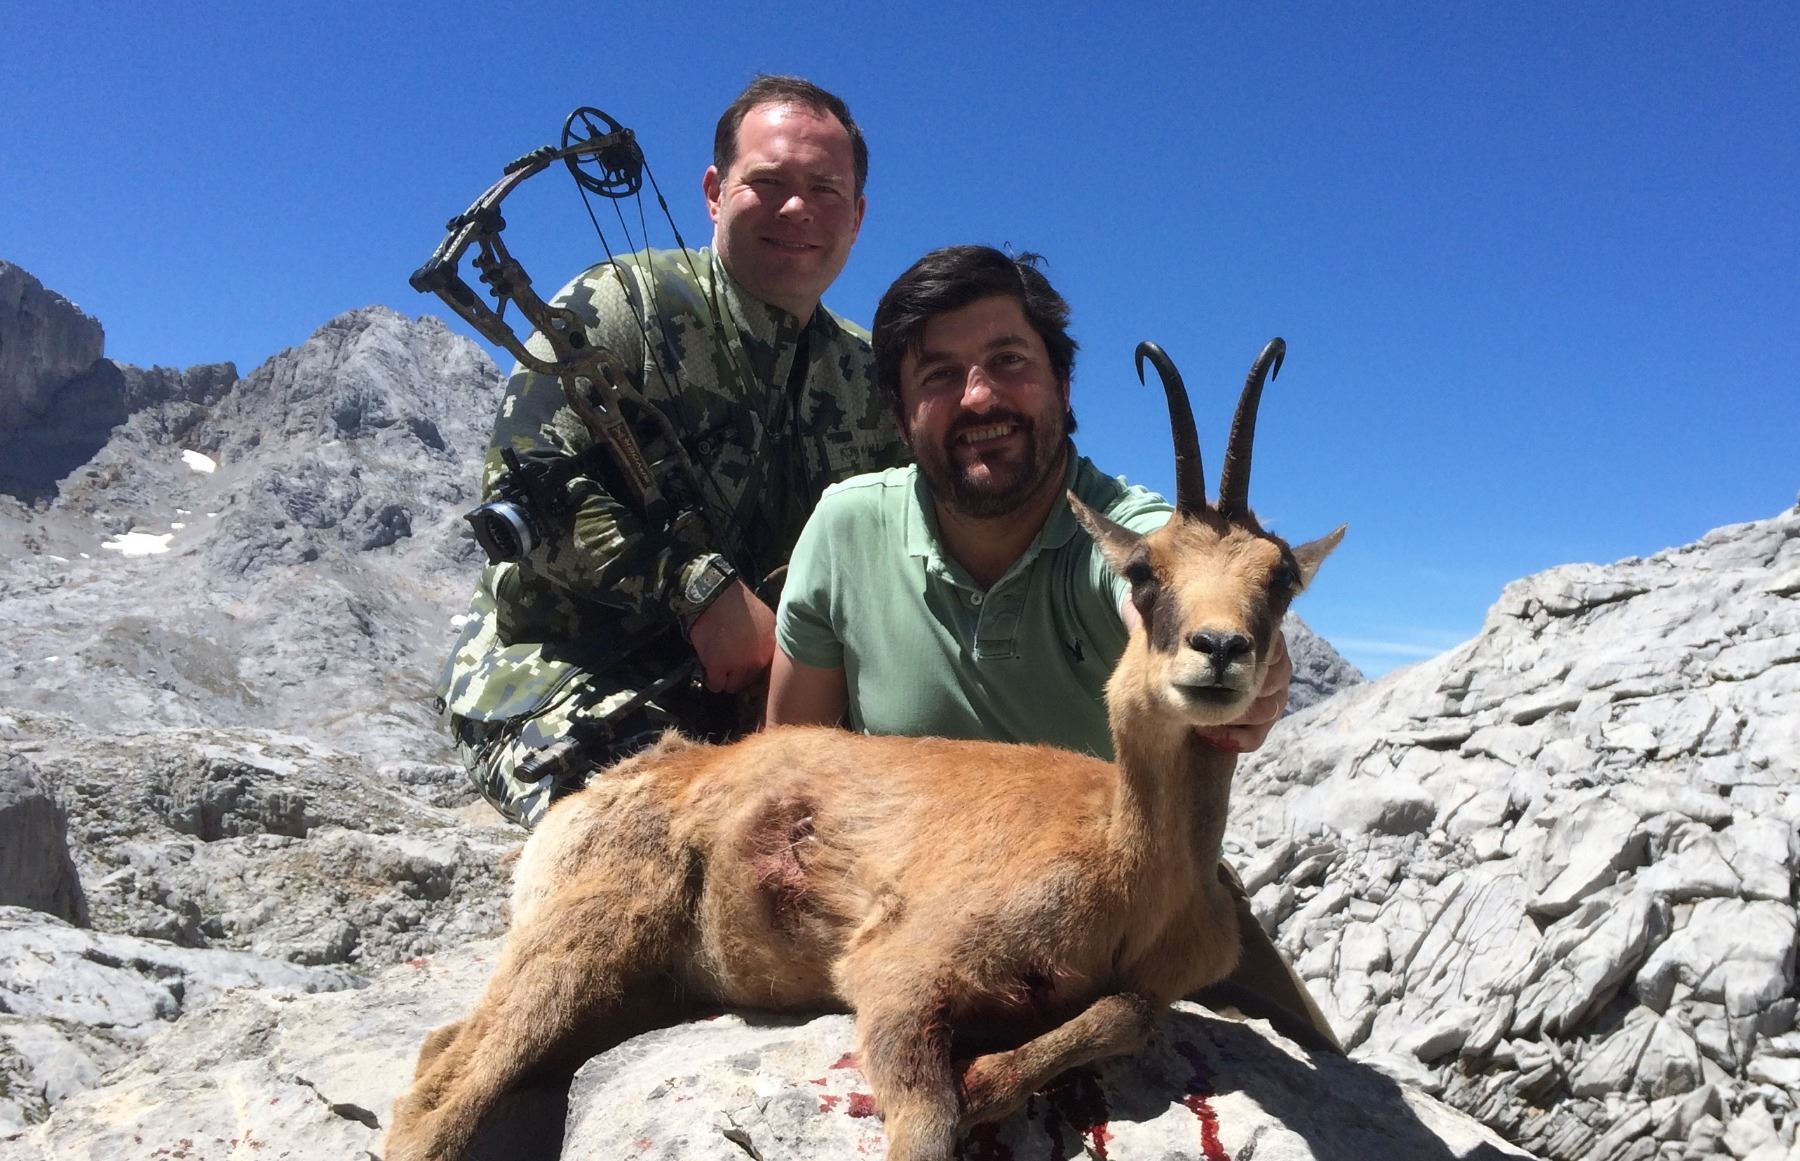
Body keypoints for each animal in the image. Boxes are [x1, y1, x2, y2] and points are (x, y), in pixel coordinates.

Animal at [386, 336, 1344, 1161]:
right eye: (1144, 573)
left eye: (1280, 577)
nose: (1219, 650)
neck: (1130, 867)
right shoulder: (898, 968)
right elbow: (928, 1122)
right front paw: (978, 1083)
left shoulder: (1137, 982)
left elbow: (1128, 1015)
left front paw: (991, 1073)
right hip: (587, 932)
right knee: (436, 1092)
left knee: (442, 1048)